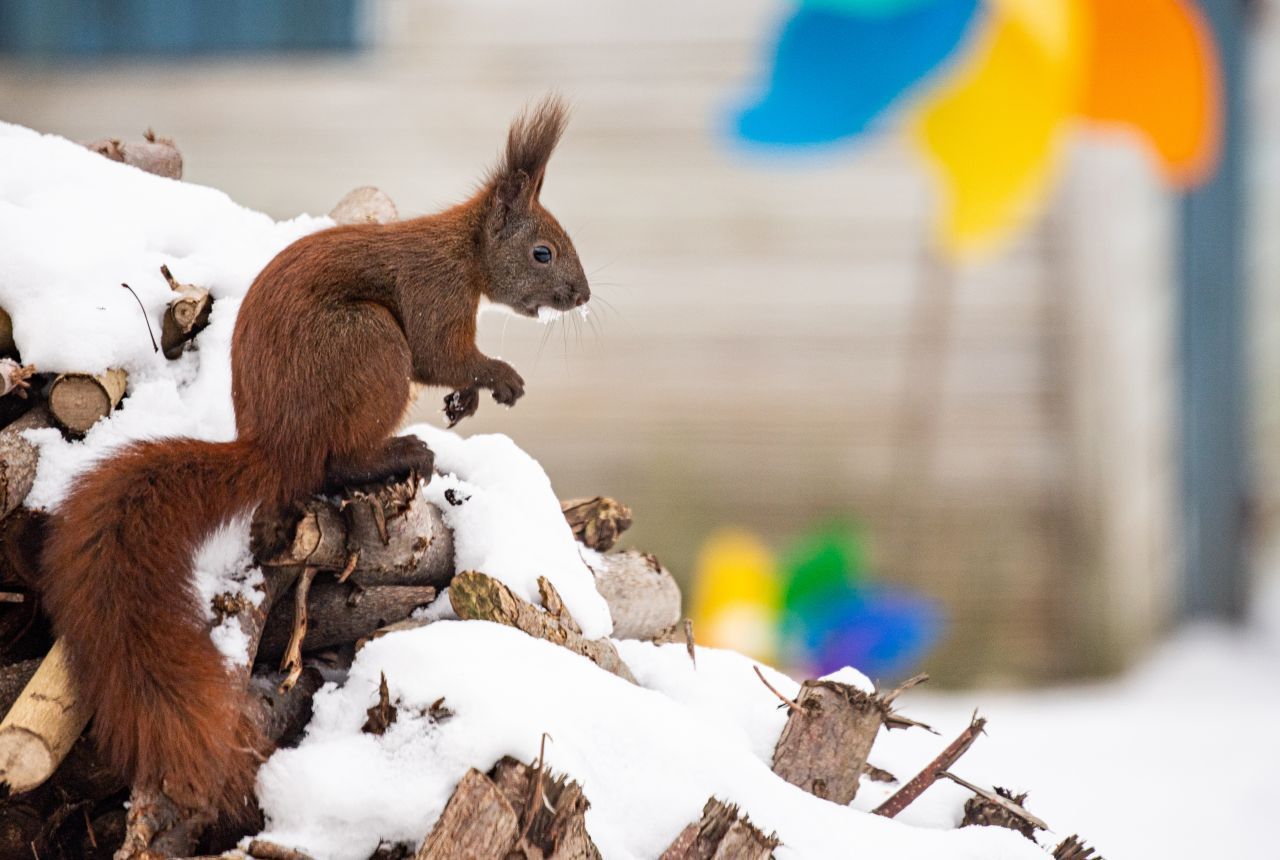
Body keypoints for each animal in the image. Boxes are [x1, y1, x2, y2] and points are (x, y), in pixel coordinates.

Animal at [38, 97, 588, 813]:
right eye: (541, 251)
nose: (582, 295)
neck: (463, 254)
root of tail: (273, 447)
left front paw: (466, 400)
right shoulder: (434, 295)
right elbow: (440, 354)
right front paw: (501, 378)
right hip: (370, 346)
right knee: (334, 463)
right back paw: (398, 452)